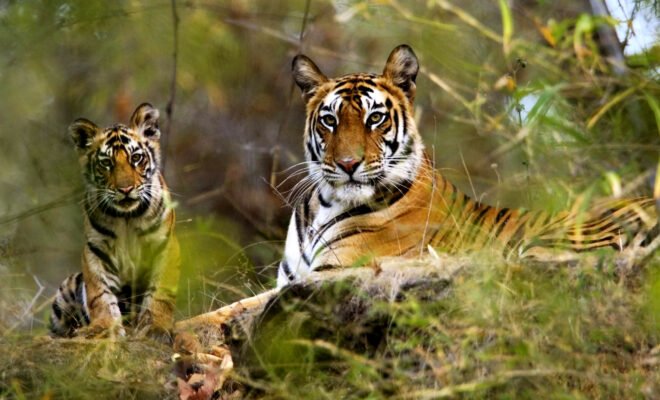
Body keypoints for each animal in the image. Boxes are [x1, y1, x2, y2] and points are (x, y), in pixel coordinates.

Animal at [50, 103, 180, 341]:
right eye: (106, 163)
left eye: (136, 158)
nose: (125, 189)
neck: (127, 217)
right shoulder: (95, 251)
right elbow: (100, 295)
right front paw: (104, 328)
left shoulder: (165, 246)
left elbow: (160, 294)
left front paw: (156, 328)